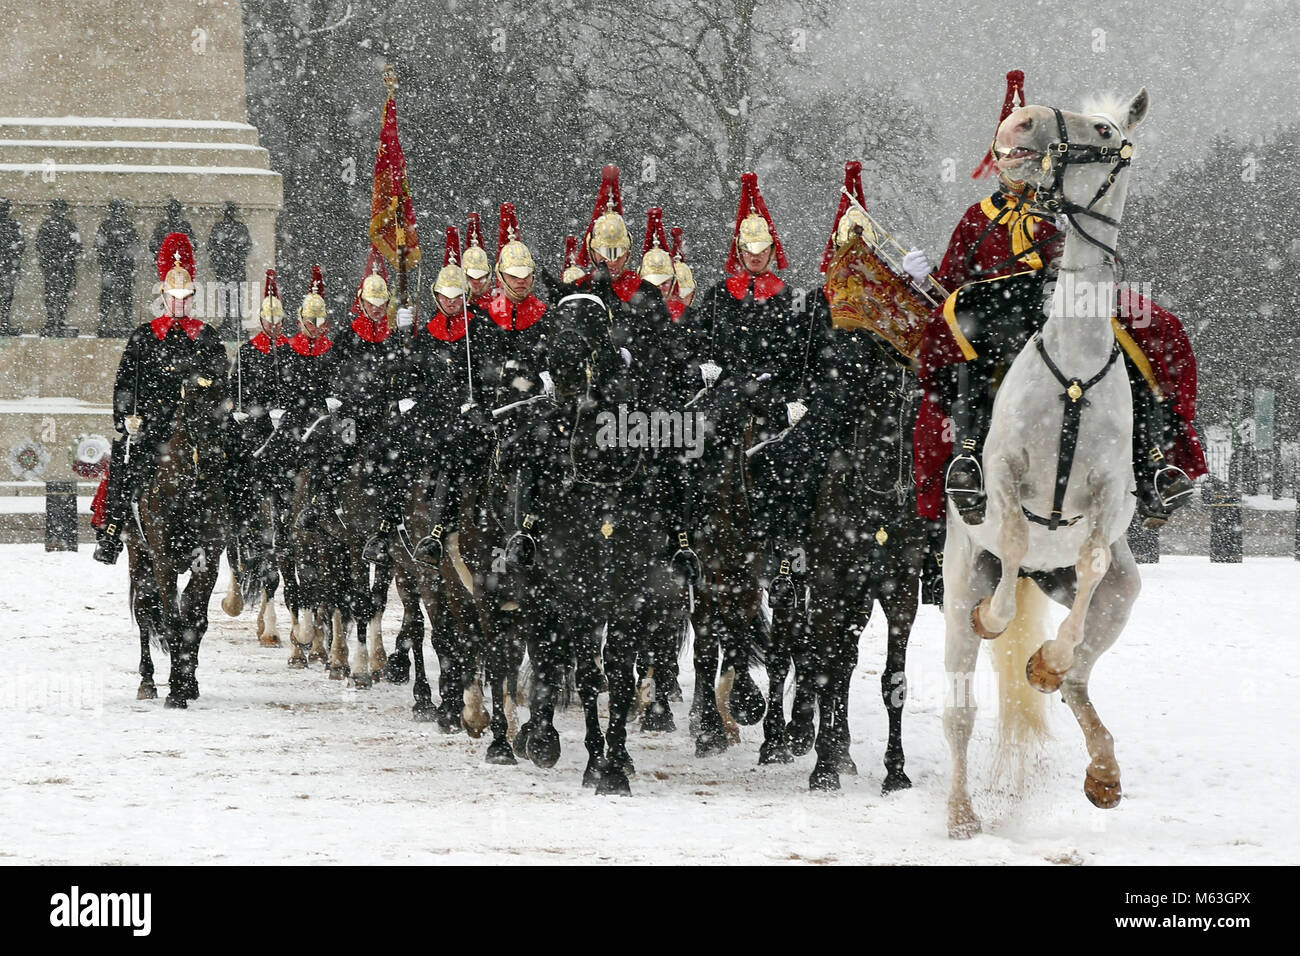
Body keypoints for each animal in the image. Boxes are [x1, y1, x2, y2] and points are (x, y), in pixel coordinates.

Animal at [126, 369, 231, 707]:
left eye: (227, 409)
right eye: (194, 408)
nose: (213, 458)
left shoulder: (210, 562)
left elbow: (194, 621)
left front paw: (187, 682)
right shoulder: (163, 562)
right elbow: (172, 621)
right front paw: (175, 691)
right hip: (138, 558)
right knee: (144, 612)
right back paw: (147, 682)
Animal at [946, 89, 1149, 837]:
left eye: (1105, 129)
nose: (1020, 122)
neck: (1075, 366)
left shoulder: (1109, 501)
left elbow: (1088, 568)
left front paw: (1047, 660)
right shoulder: (1004, 476)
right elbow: (1007, 535)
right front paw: (998, 619)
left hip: (1120, 594)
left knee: (1082, 671)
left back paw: (1102, 766)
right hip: (957, 579)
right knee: (961, 710)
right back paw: (961, 816)